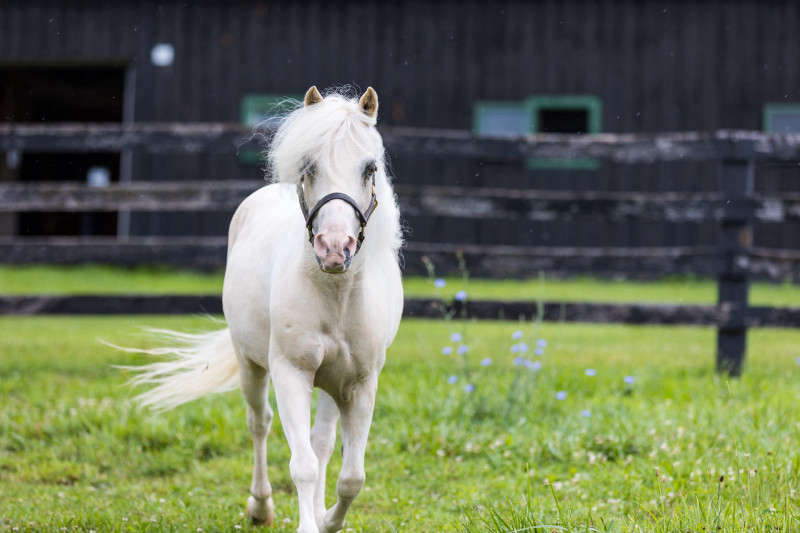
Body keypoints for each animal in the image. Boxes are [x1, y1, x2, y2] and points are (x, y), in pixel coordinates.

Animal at [134, 87, 406, 532]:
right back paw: (260, 507)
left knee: (321, 442)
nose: (335, 248)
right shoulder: (290, 372)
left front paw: (326, 519)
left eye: (370, 168)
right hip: (251, 363)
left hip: (331, 382)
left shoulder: (360, 384)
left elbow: (351, 476)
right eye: (309, 165)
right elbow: (302, 465)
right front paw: (307, 523)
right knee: (259, 424)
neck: (336, 294)